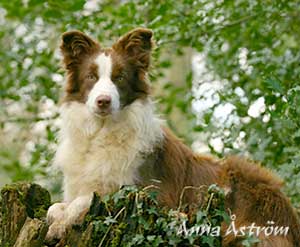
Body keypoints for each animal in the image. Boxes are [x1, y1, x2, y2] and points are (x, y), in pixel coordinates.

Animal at [47, 28, 300, 245]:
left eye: (119, 78)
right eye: (91, 77)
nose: (103, 101)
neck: (102, 132)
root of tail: (290, 215)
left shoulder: (150, 196)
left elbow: (86, 199)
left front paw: (59, 225)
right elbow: (55, 207)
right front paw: (57, 218)